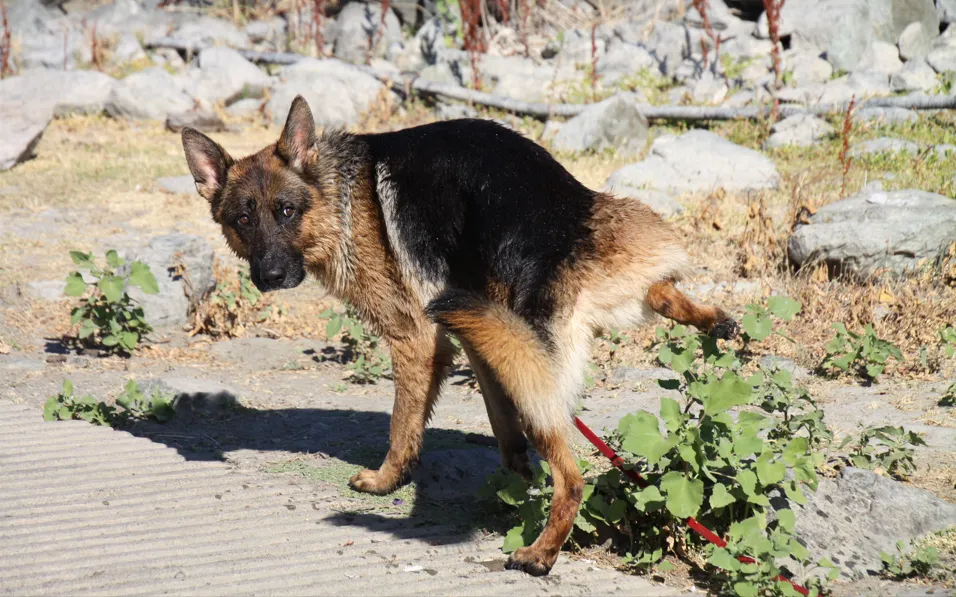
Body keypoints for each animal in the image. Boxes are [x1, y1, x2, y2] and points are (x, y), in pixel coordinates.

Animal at [181, 95, 740, 576]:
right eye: (242, 219)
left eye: (286, 211)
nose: (270, 276)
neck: (339, 197)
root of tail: (570, 240)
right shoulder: (476, 338)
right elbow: (499, 420)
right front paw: (513, 479)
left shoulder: (416, 338)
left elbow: (403, 425)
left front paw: (385, 480)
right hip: (539, 315)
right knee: (662, 292)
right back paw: (712, 319)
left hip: (525, 369)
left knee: (574, 479)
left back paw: (540, 553)